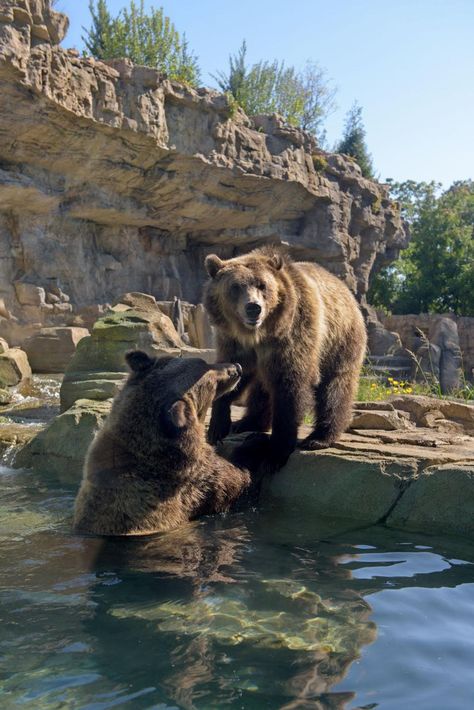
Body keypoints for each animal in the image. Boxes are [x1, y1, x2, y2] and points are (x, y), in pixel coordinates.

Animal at [73, 354, 262, 536]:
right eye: (210, 375)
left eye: (203, 361)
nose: (237, 367)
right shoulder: (199, 482)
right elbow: (236, 478)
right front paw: (254, 443)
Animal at [204, 248, 366, 476]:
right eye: (235, 286)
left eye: (262, 285)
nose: (253, 308)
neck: (258, 335)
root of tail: (346, 290)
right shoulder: (233, 342)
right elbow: (233, 371)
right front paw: (218, 426)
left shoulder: (293, 334)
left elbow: (290, 387)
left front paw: (275, 454)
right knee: (261, 388)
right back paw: (246, 422)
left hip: (340, 341)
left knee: (335, 388)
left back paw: (319, 437)